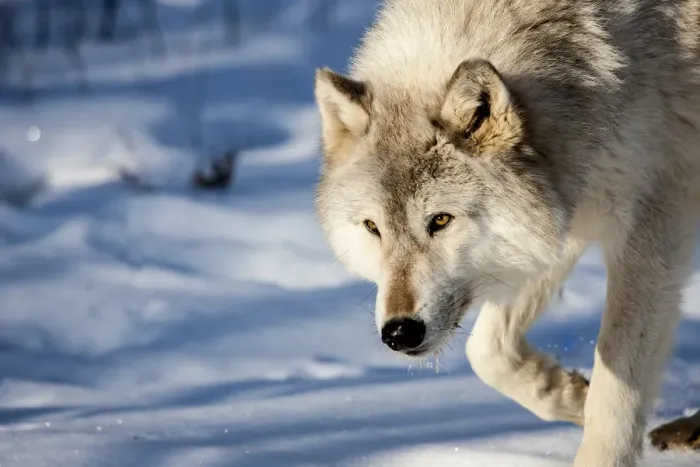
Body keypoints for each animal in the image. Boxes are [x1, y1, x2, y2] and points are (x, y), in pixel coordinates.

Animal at [313, 0, 700, 465]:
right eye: (374, 228)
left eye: (440, 220)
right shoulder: (561, 216)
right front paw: (572, 395)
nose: (399, 333)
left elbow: (616, 388)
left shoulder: (653, 225)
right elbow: (487, 352)